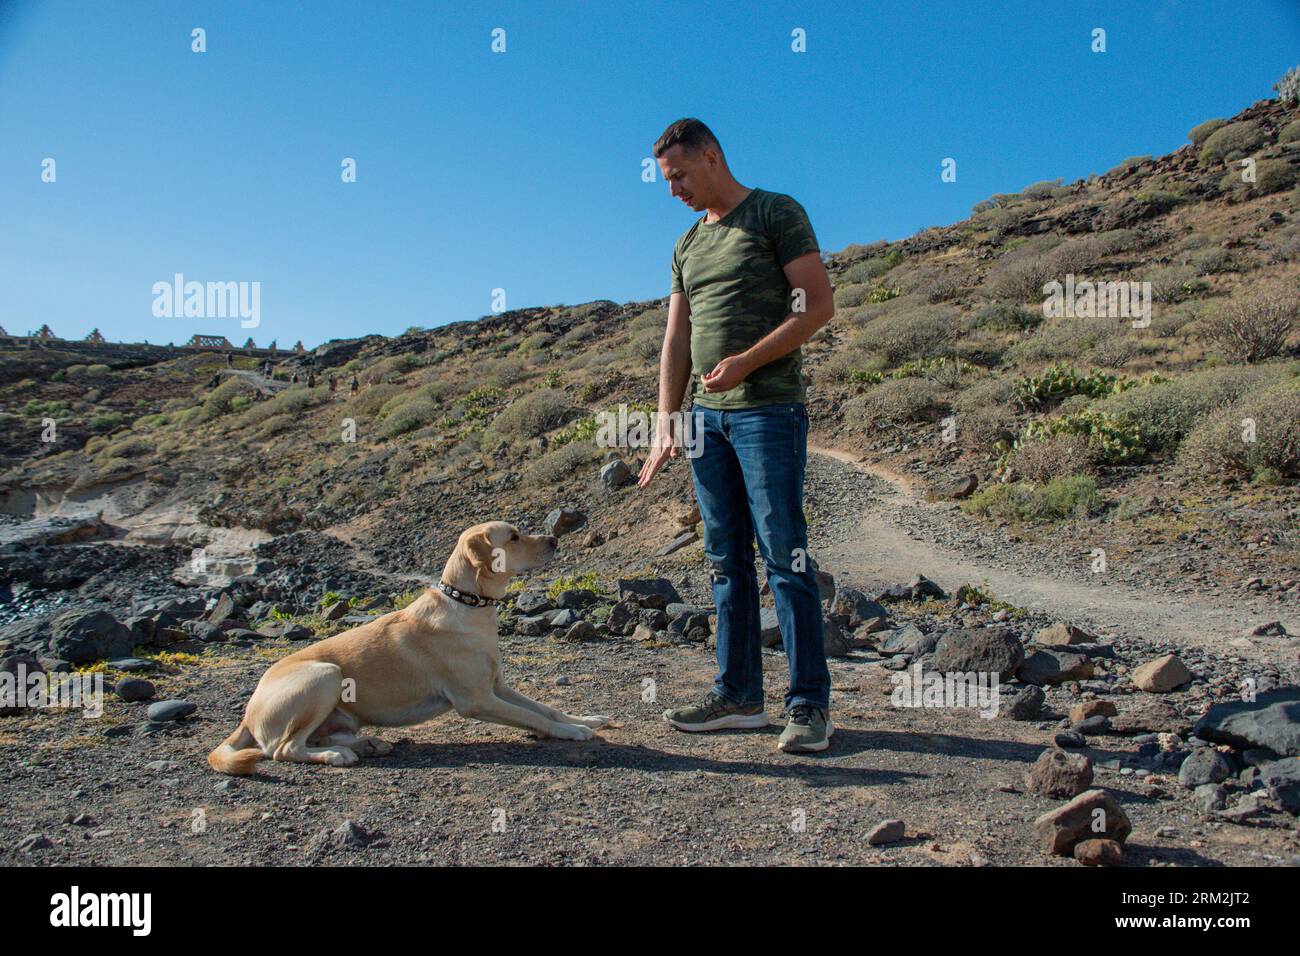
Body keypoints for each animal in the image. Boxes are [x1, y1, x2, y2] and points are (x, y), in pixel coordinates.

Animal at [209, 522, 613, 780]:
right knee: (283, 748)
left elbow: (546, 708)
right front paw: (571, 732)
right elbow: (534, 717)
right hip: (326, 675)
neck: (468, 603)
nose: (555, 540)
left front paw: (585, 719)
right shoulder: (477, 700)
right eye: (513, 537)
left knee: (316, 736)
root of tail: (247, 713)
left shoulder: (498, 687)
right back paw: (338, 755)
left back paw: (368, 742)